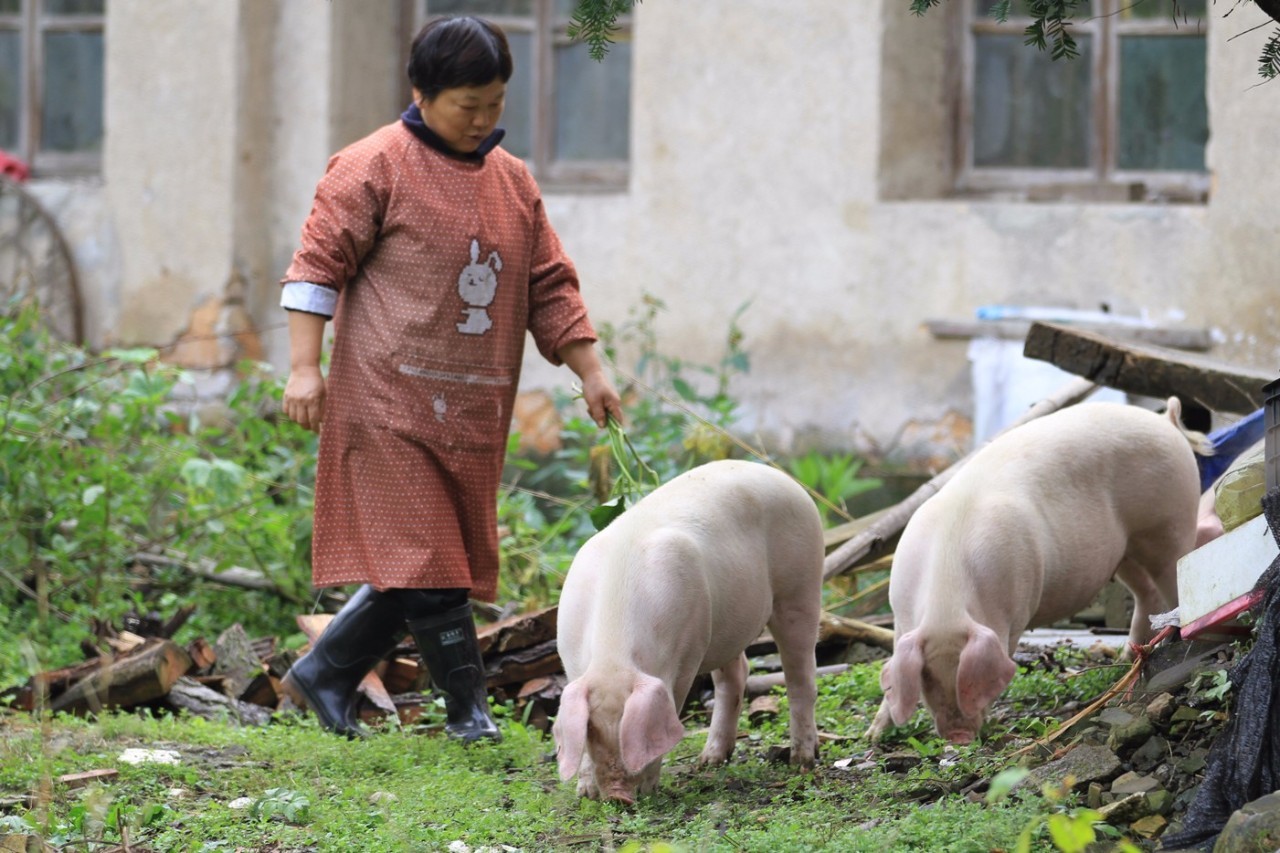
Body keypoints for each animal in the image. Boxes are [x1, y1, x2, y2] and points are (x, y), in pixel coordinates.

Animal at [555, 458, 824, 799]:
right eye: (592, 731)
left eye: (634, 731)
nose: (617, 795)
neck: (613, 654)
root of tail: (781, 476)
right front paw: (585, 794)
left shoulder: (687, 654)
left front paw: (650, 789)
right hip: (725, 623)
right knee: (736, 676)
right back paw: (709, 761)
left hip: (801, 585)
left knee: (801, 675)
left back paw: (801, 762)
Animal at [870, 394, 1208, 742]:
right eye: (927, 679)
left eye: (968, 678)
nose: (958, 735)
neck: (947, 593)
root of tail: (1166, 422)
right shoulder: (900, 619)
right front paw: (873, 735)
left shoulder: (1015, 612)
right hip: (1126, 550)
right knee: (1146, 594)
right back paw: (1129, 659)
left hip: (1171, 523)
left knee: (1175, 580)